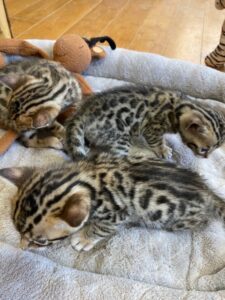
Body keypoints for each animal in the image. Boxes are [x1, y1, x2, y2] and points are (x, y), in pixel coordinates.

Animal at [0, 154, 224, 252]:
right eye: (18, 232)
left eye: (41, 242)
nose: (23, 247)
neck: (88, 176)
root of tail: (208, 193)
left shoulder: (118, 213)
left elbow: (101, 227)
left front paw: (84, 238)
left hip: (178, 221)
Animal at [65, 85, 225, 159]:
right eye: (204, 149)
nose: (205, 157)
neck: (180, 107)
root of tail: (82, 112)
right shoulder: (153, 128)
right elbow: (156, 142)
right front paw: (163, 150)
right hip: (120, 136)